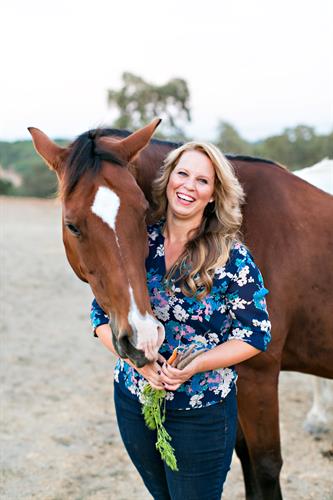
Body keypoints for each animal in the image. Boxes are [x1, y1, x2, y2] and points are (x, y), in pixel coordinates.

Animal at [29, 121, 332, 500]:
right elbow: (246, 461)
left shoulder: (259, 375)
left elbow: (264, 468)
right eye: (72, 225)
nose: (143, 337)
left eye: (142, 213)